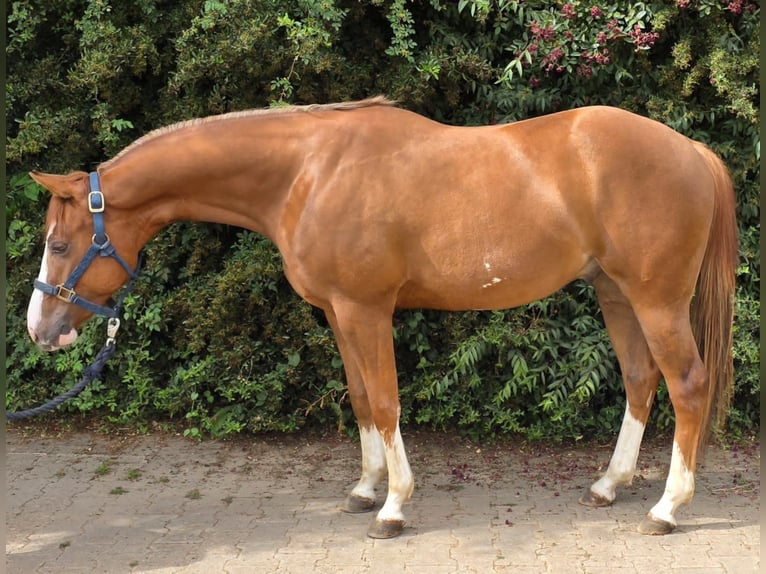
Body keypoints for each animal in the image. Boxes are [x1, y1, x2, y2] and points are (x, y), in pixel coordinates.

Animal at [26, 97, 737, 539]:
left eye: (59, 244)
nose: (39, 329)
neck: (307, 174)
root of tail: (693, 151)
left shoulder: (366, 310)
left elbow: (389, 401)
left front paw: (393, 507)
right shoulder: (339, 313)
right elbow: (363, 398)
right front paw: (366, 488)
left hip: (656, 300)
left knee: (688, 385)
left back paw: (667, 508)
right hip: (617, 296)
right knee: (641, 381)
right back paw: (610, 485)